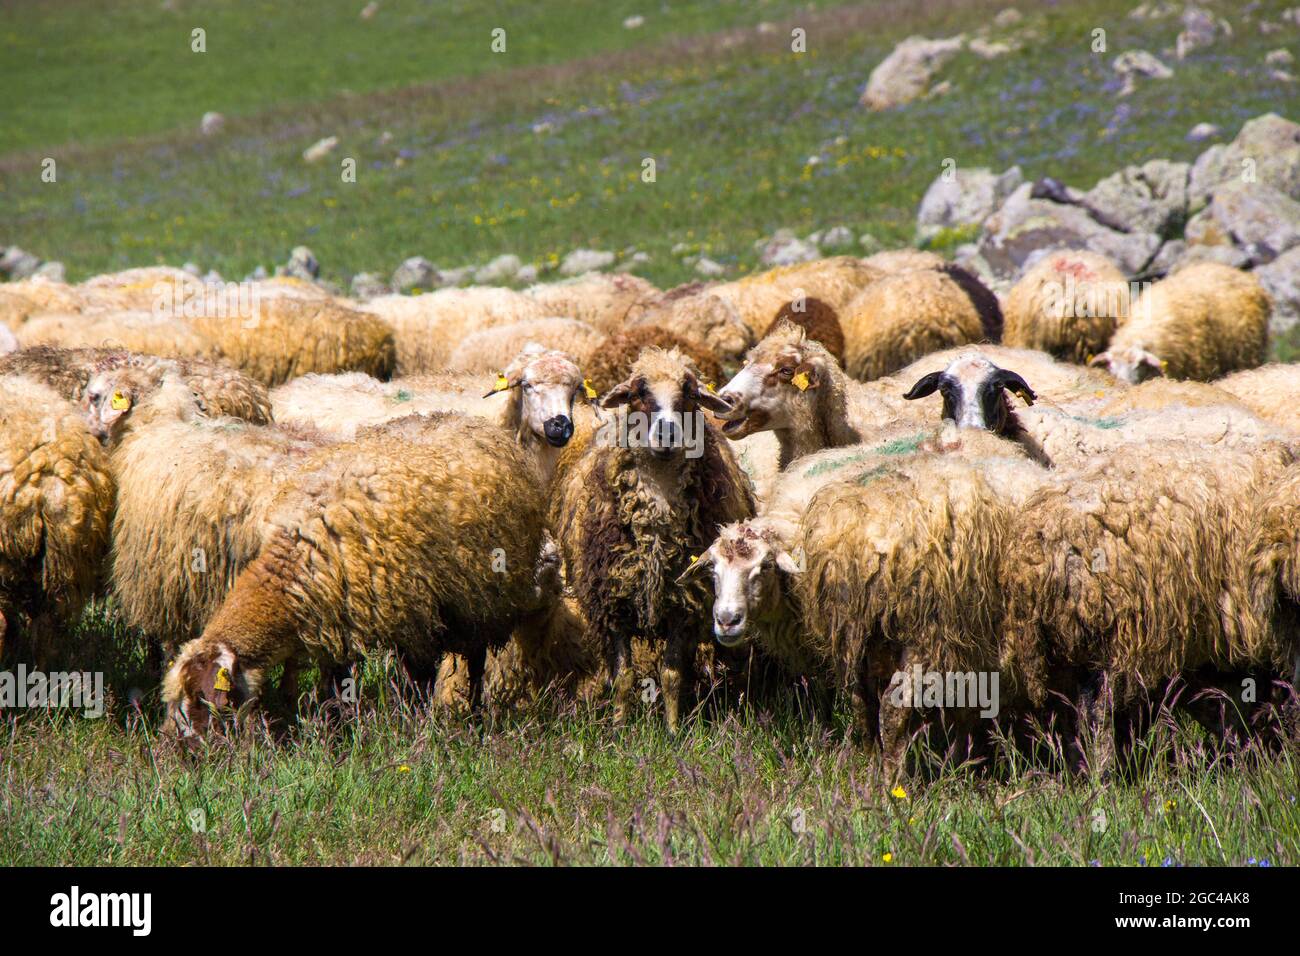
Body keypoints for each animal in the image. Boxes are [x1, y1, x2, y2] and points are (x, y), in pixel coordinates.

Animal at [162, 411, 552, 736]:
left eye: (204, 700)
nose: (186, 753)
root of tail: (476, 423)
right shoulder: (334, 617)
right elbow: (336, 684)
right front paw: (336, 730)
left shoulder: (413, 617)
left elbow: (418, 680)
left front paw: (416, 727)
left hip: (481, 599)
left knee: (475, 660)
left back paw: (474, 716)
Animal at [551, 347, 755, 731]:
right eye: (640, 392)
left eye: (689, 392)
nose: (668, 434)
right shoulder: (613, 603)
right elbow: (624, 676)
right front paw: (619, 727)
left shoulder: (684, 604)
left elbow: (672, 675)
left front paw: (673, 730)